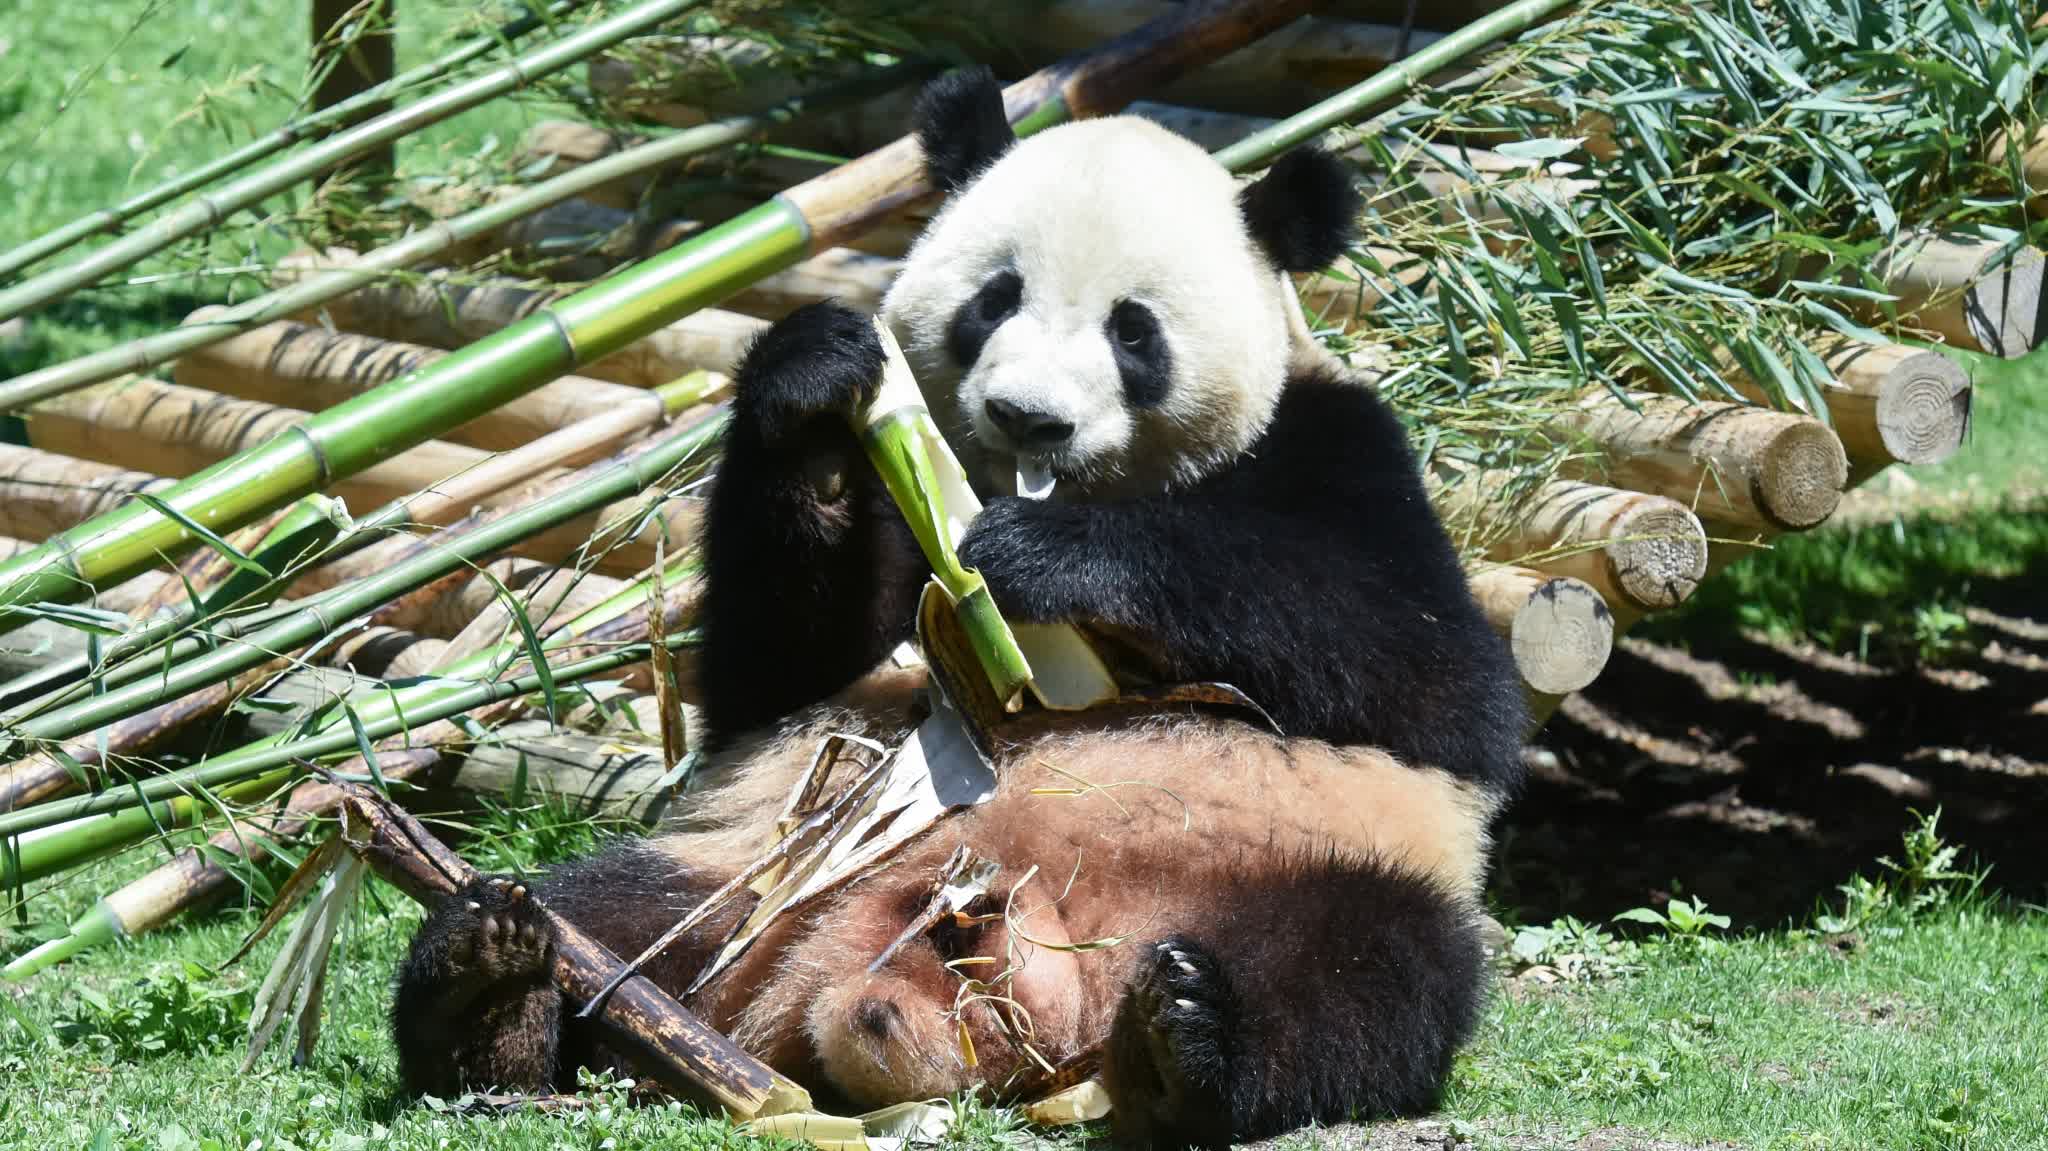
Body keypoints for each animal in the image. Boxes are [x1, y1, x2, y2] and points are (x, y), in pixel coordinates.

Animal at [392, 68, 1526, 1148]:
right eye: (994, 298)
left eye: (1134, 331)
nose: (1029, 417)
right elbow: (777, 663)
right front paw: (816, 389)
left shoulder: (1340, 448)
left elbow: (1431, 673)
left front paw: (1043, 558)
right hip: (752, 871)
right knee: (612, 915)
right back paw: (491, 981)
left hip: (1319, 861)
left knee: (1363, 976)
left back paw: (1190, 1038)